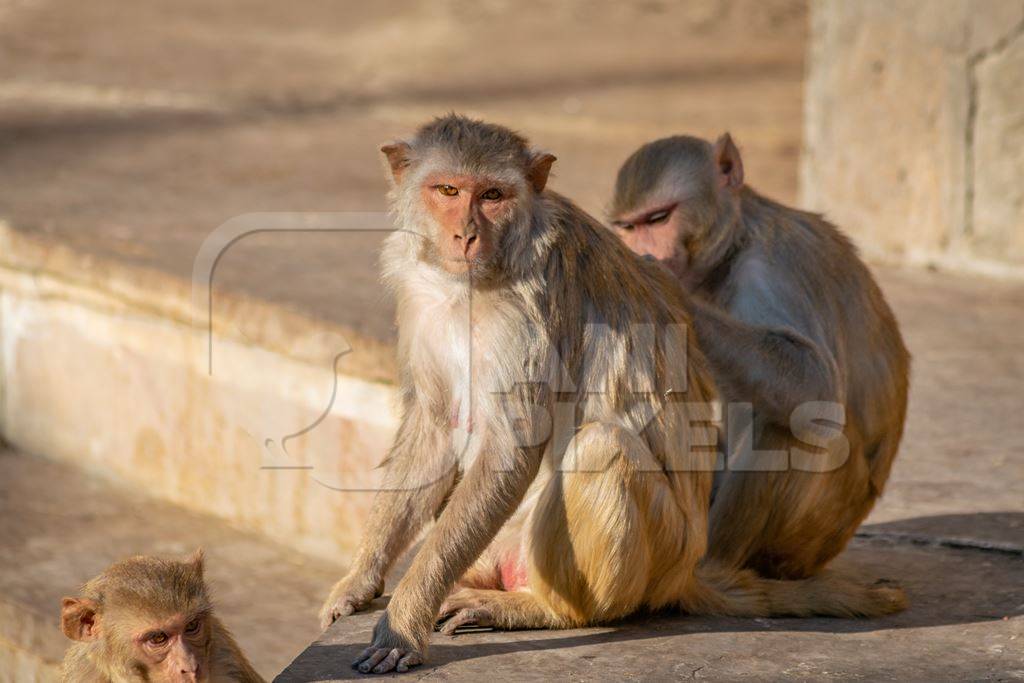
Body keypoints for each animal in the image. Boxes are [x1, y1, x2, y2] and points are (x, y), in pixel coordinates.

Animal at [606, 135, 913, 581]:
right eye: (628, 226)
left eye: (659, 218)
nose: (637, 248)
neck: (734, 244)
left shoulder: (767, 270)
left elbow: (816, 384)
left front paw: (664, 287)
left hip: (810, 531)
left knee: (788, 422)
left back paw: (710, 567)